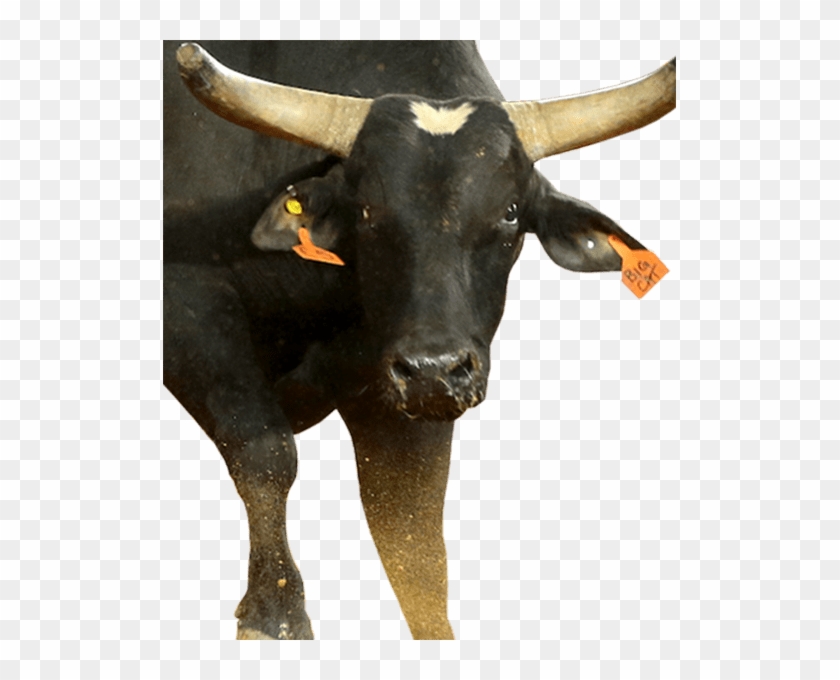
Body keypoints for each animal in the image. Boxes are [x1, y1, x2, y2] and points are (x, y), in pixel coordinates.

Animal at [163, 41, 675, 640]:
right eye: (366, 211)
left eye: (510, 213)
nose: (434, 367)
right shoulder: (189, 308)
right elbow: (265, 450)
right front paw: (275, 612)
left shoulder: (398, 392)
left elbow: (412, 528)